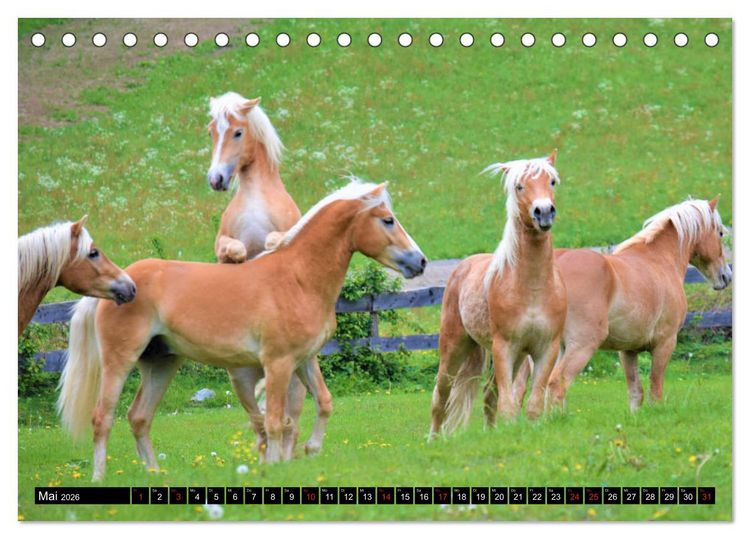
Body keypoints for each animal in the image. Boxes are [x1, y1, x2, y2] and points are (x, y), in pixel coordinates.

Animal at [57, 180, 427, 480]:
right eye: (387, 220)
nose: (420, 262)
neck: (298, 278)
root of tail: (122, 283)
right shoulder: (277, 363)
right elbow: (275, 420)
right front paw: (275, 468)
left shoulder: (304, 360)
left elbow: (323, 402)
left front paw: (311, 450)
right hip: (119, 361)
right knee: (103, 418)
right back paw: (99, 477)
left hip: (161, 363)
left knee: (139, 417)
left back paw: (154, 475)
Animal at [429, 151, 566, 438]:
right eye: (519, 186)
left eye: (552, 182)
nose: (544, 211)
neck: (532, 288)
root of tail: (462, 267)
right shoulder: (505, 347)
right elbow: (509, 406)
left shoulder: (545, 349)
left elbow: (532, 403)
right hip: (453, 348)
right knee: (441, 396)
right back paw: (433, 439)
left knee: (488, 394)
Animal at [508, 197, 732, 412]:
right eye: (720, 232)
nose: (726, 276)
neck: (659, 259)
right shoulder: (665, 343)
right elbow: (655, 391)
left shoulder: (628, 351)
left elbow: (635, 392)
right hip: (580, 345)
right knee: (556, 383)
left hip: (548, 349)